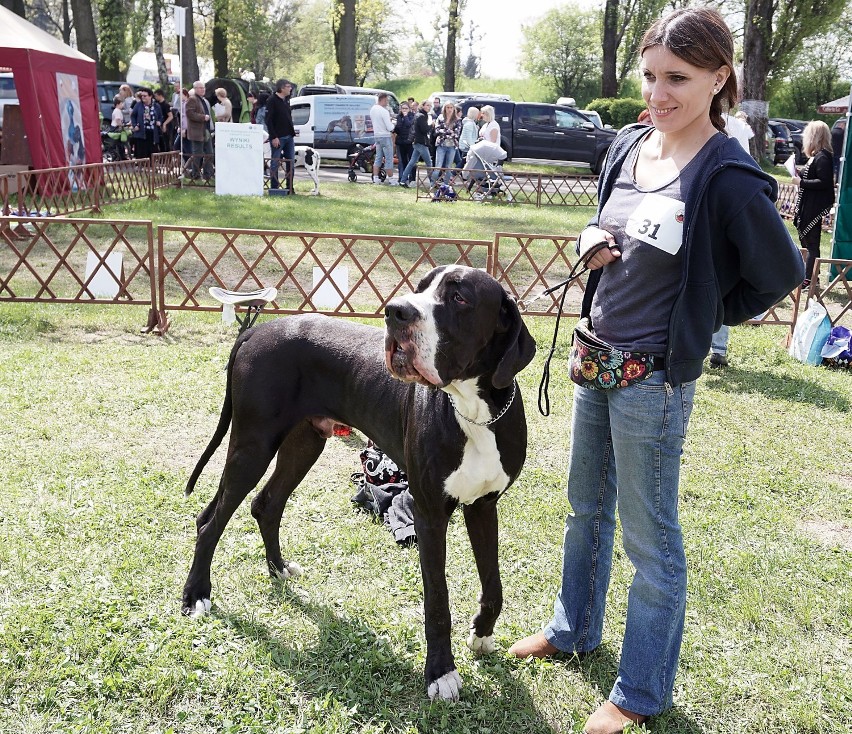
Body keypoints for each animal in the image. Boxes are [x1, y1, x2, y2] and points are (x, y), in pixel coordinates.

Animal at [183, 268, 536, 704]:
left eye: (460, 298)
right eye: (420, 287)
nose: (396, 311)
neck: (475, 410)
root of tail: (255, 331)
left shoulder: (484, 505)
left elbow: (494, 583)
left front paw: (482, 634)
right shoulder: (430, 514)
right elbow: (438, 601)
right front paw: (440, 673)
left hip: (303, 443)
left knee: (266, 504)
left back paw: (279, 569)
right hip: (253, 445)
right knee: (210, 521)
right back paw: (196, 595)